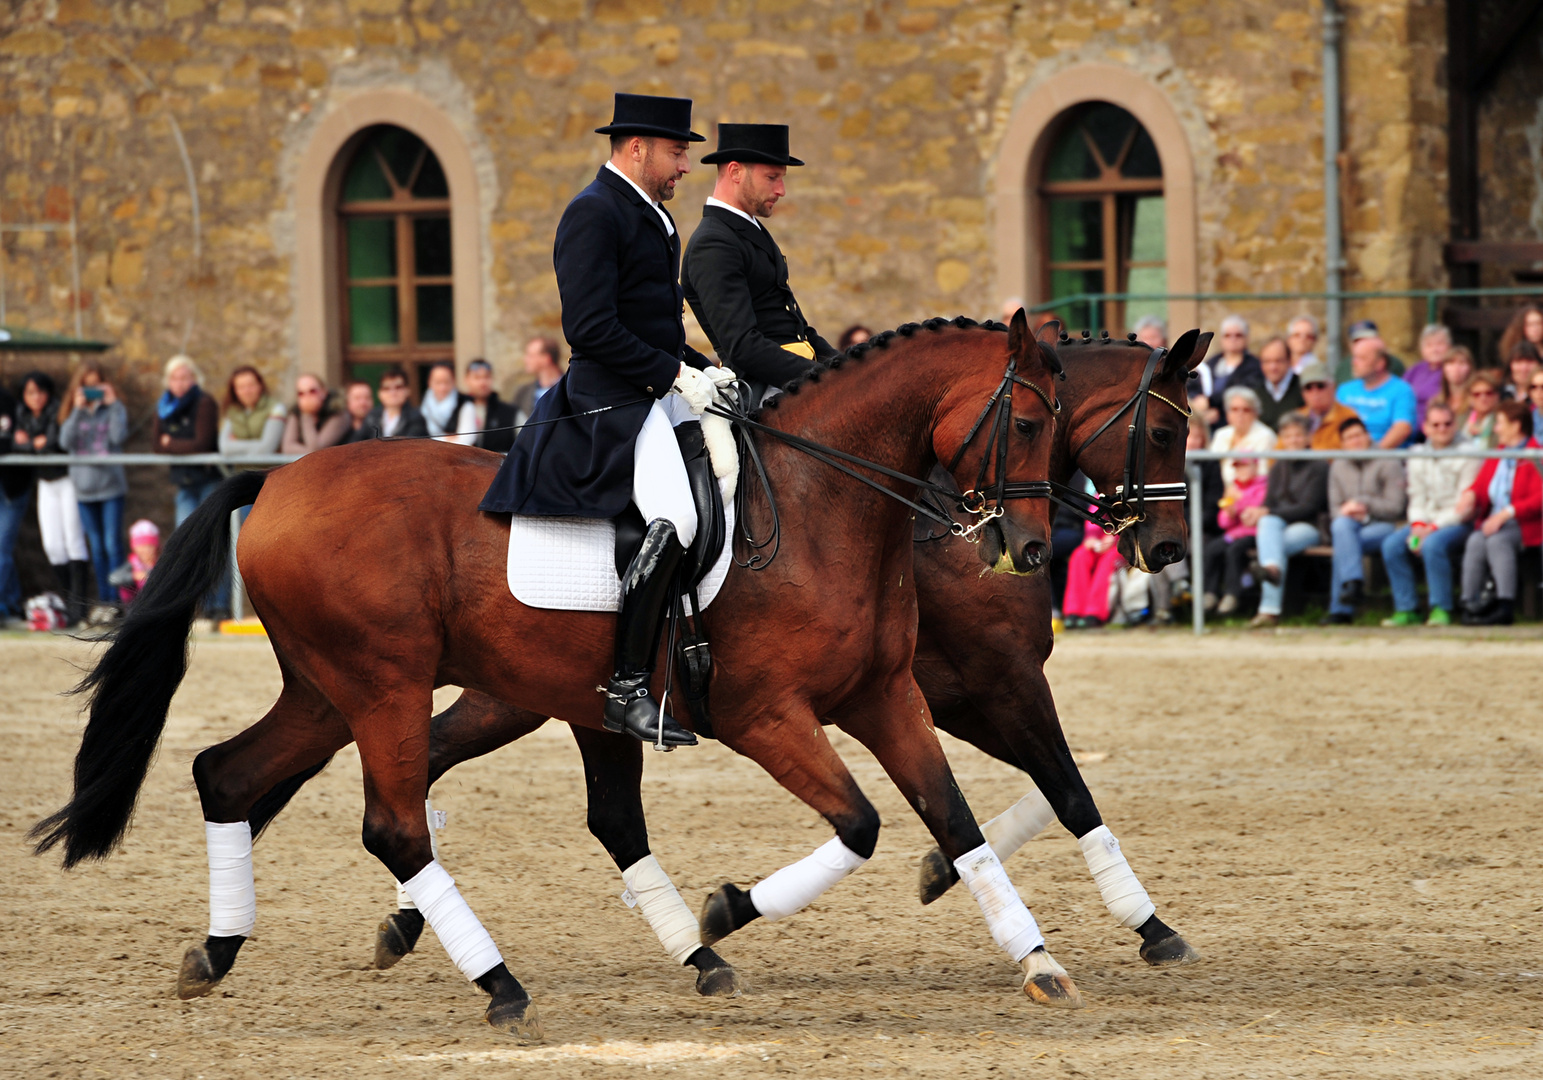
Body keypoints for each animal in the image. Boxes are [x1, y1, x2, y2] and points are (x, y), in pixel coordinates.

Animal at [39, 311, 1073, 1036]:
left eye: (1061, 428)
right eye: (1024, 420)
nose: (1028, 550)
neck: (822, 501)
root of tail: (285, 477)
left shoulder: (883, 696)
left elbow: (954, 821)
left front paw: (1036, 960)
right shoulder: (766, 715)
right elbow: (860, 825)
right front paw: (729, 907)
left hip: (330, 692)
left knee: (228, 774)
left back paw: (215, 953)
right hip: (382, 685)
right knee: (392, 825)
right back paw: (501, 984)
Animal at [265, 325, 1209, 981]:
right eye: (1164, 434)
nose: (1165, 548)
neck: (838, 499)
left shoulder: (917, 694)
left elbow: (1006, 801)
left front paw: (1039, 927)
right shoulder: (905, 697)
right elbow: (1022, 796)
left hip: (524, 693)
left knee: (476, 783)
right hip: (452, 685)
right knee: (423, 777)